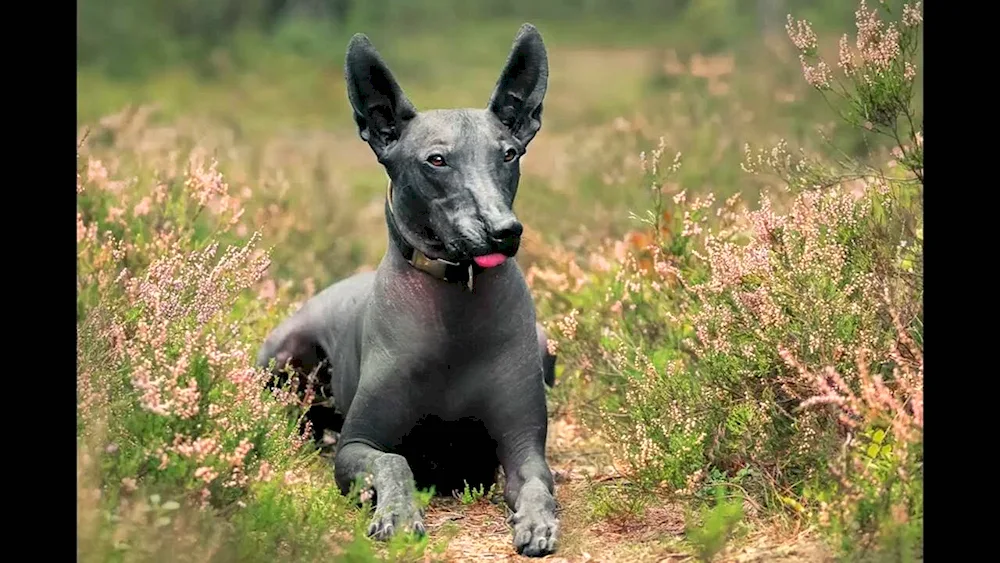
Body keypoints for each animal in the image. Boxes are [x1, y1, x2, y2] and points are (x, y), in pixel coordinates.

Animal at [254, 23, 560, 560]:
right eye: (436, 160)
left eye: (508, 154)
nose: (504, 230)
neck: (457, 301)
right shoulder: (358, 445)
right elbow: (394, 463)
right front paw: (397, 512)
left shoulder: (523, 446)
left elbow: (539, 482)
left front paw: (537, 520)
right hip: (285, 354)